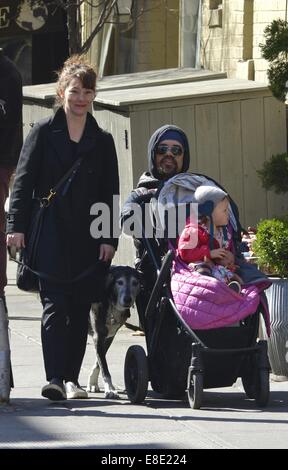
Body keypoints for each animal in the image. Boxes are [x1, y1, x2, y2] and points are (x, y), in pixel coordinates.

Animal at [88, 266, 142, 398]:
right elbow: (104, 366)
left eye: (135, 282)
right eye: (119, 282)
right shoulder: (98, 337)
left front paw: (93, 383)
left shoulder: (108, 337)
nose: (128, 299)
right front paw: (110, 389)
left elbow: (99, 362)